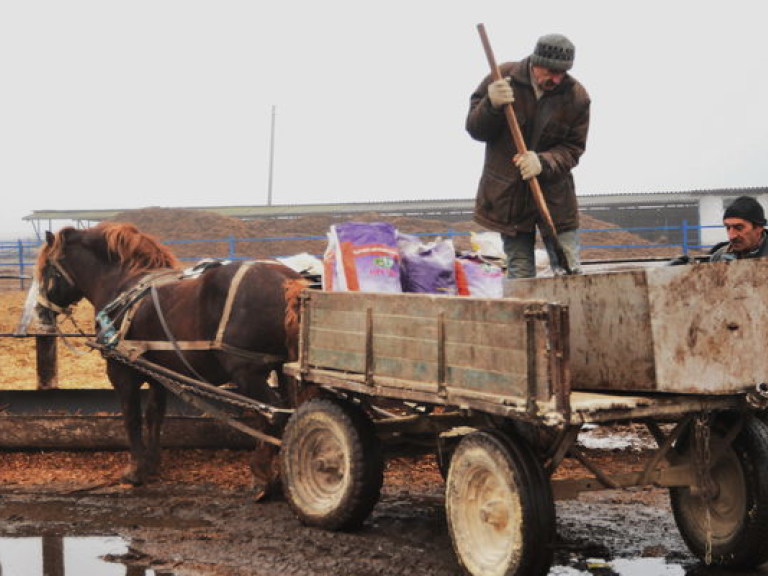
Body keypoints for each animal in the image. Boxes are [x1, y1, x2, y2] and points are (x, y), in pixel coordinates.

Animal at [36, 223, 306, 488]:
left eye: (47, 269)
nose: (41, 312)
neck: (123, 286)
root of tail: (288, 281)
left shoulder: (121, 371)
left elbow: (131, 417)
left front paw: (136, 470)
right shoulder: (158, 373)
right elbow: (154, 414)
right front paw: (152, 463)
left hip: (248, 373)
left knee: (274, 415)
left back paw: (261, 473)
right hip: (282, 368)